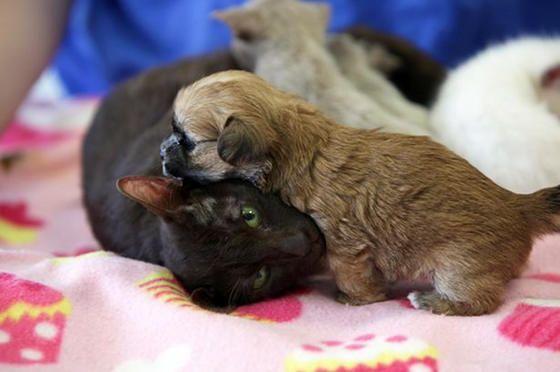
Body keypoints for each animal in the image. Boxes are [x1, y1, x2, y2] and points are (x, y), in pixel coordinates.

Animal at [166, 69, 560, 314]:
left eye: (186, 141)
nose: (162, 150)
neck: (299, 149)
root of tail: (516, 204)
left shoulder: (345, 247)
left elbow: (351, 275)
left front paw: (356, 299)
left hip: (458, 265)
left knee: (481, 300)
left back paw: (433, 302)